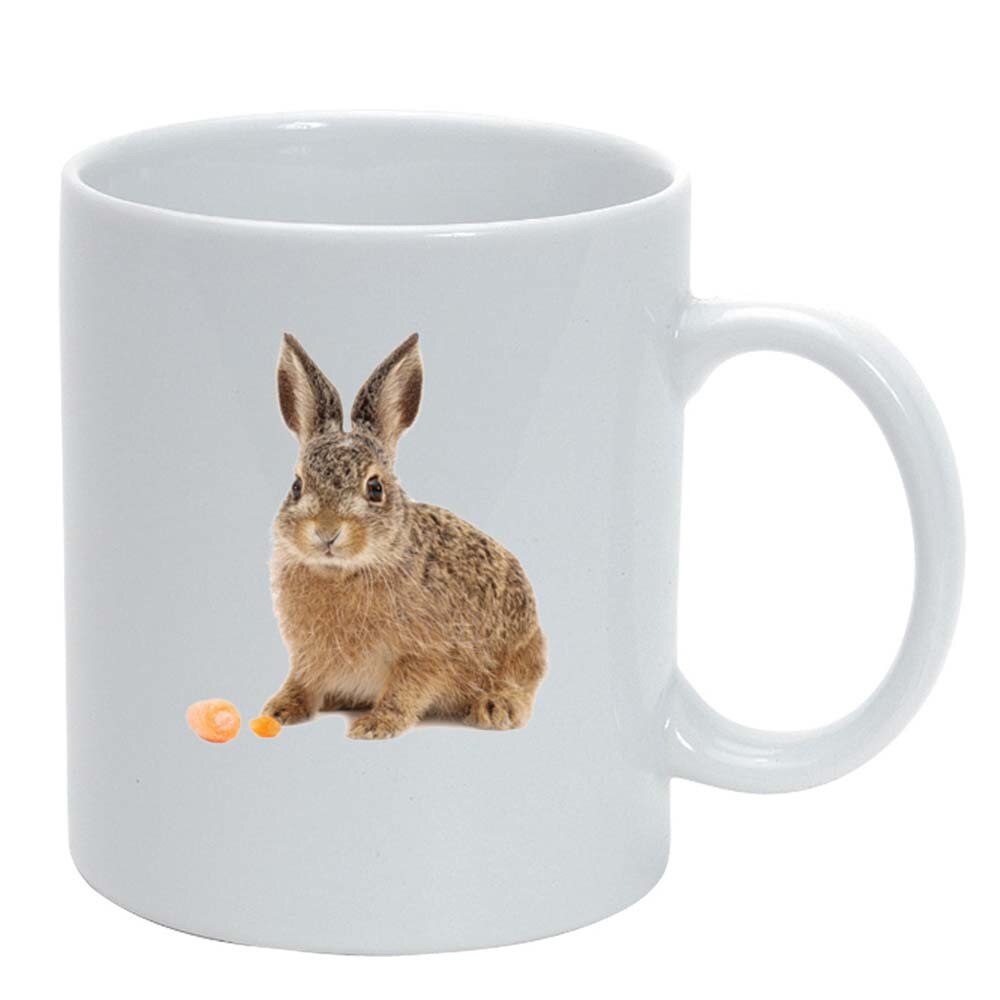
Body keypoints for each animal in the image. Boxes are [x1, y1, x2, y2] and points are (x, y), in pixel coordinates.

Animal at [262, 332, 547, 739]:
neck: (344, 572)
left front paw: (376, 725)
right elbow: (301, 680)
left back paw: (497, 708)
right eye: (297, 486)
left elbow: (405, 689)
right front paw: (279, 709)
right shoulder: (307, 655)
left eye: (375, 488)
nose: (326, 532)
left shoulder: (425, 654)